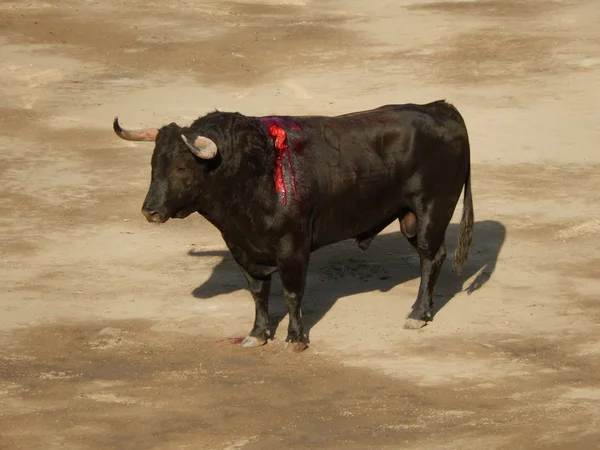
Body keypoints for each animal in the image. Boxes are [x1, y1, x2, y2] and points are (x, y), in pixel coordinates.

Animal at [112, 99, 474, 352]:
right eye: (154, 165)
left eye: (182, 168)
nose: (150, 211)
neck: (253, 171)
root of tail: (442, 108)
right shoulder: (242, 246)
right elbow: (258, 291)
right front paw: (257, 334)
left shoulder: (293, 246)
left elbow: (291, 291)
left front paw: (296, 338)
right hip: (409, 217)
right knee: (432, 256)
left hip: (431, 209)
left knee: (431, 257)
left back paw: (418, 315)